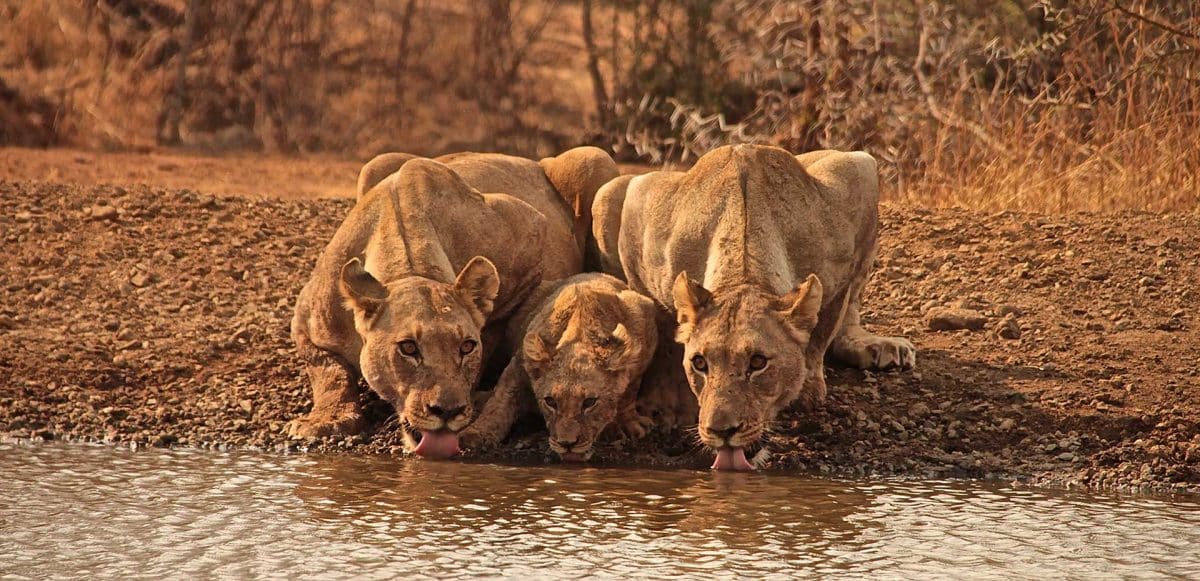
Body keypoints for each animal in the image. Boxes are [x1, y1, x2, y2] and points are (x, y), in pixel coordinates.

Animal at [288, 148, 618, 460]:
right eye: (408, 348)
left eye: (466, 347)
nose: (448, 412)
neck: (409, 265)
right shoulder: (305, 318)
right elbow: (327, 369)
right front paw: (326, 421)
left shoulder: (529, 230)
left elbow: (493, 328)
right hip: (375, 163)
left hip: (594, 160)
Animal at [461, 273, 659, 462]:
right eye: (550, 402)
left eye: (589, 402)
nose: (567, 443)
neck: (580, 333)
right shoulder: (520, 364)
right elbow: (500, 400)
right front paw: (475, 433)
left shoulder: (644, 319)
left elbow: (630, 390)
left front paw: (626, 423)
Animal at [592, 144, 916, 470]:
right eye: (700, 363)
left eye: (758, 362)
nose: (721, 431)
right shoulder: (639, 210)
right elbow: (663, 337)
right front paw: (665, 405)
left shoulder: (842, 245)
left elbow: (823, 330)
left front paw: (806, 390)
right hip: (609, 191)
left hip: (858, 164)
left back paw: (877, 346)